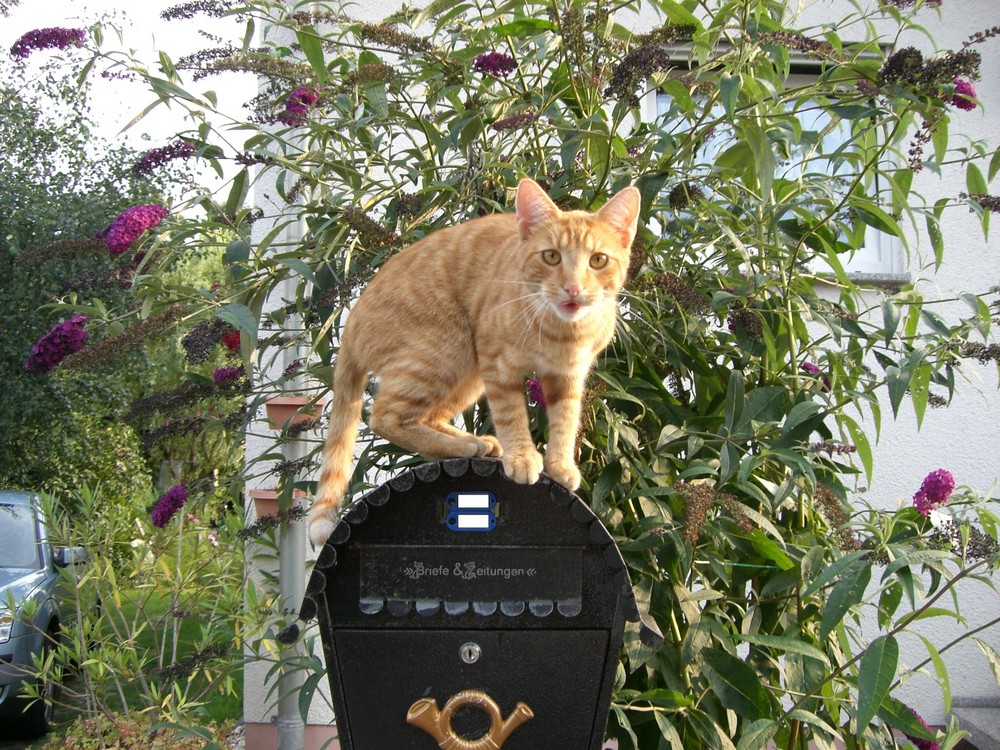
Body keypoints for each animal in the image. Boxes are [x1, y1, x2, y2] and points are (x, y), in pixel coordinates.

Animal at [306, 179, 640, 548]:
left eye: (598, 260)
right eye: (551, 256)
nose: (573, 289)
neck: (560, 332)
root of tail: (350, 322)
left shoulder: (567, 376)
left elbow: (566, 419)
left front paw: (560, 463)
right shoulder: (498, 362)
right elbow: (511, 414)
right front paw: (522, 456)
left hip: (466, 375)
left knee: (427, 416)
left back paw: (474, 443)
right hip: (448, 349)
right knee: (385, 417)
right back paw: (465, 444)